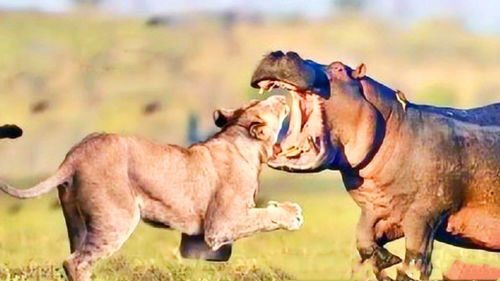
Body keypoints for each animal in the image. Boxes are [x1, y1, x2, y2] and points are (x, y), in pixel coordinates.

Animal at [0, 95, 302, 278]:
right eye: (269, 105)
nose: (280, 96)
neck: (241, 142)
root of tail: (75, 154)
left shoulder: (199, 236)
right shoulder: (221, 225)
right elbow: (262, 217)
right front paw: (292, 214)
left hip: (77, 222)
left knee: (74, 256)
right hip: (117, 218)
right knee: (75, 262)